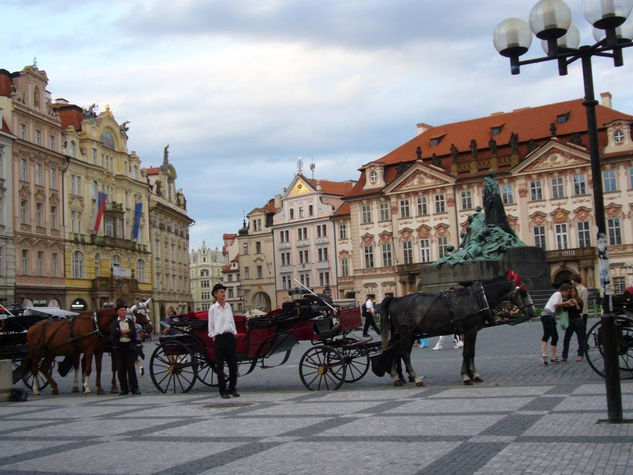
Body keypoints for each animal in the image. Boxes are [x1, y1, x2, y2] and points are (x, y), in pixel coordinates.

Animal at [372, 272, 536, 386]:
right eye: (523, 292)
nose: (532, 311)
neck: (478, 298)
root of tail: (396, 299)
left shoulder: (473, 330)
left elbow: (471, 353)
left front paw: (474, 375)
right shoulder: (470, 329)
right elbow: (467, 353)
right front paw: (466, 377)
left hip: (404, 334)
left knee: (395, 351)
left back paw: (397, 377)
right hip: (407, 333)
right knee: (404, 354)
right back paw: (416, 378)